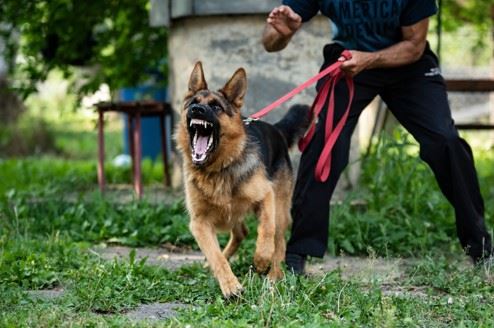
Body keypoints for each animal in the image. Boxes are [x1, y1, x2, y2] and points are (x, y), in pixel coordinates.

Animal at [176, 61, 308, 298]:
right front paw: (230, 286)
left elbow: (266, 231)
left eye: (216, 107)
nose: (196, 110)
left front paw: (261, 260)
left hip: (279, 209)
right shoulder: (199, 223)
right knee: (241, 232)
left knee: (279, 240)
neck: (218, 168)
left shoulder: (266, 196)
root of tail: (276, 130)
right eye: (193, 103)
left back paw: (274, 275)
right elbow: (216, 256)